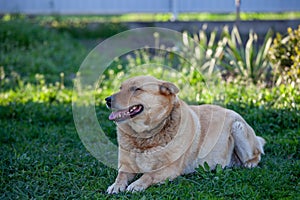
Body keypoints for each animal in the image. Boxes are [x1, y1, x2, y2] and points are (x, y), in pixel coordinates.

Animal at [105, 76, 264, 193]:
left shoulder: (170, 168)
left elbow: (148, 175)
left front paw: (137, 184)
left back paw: (249, 163)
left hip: (238, 127)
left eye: (136, 89)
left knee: (257, 155)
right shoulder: (125, 166)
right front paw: (116, 186)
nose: (107, 99)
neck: (144, 137)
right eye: (120, 88)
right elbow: (121, 175)